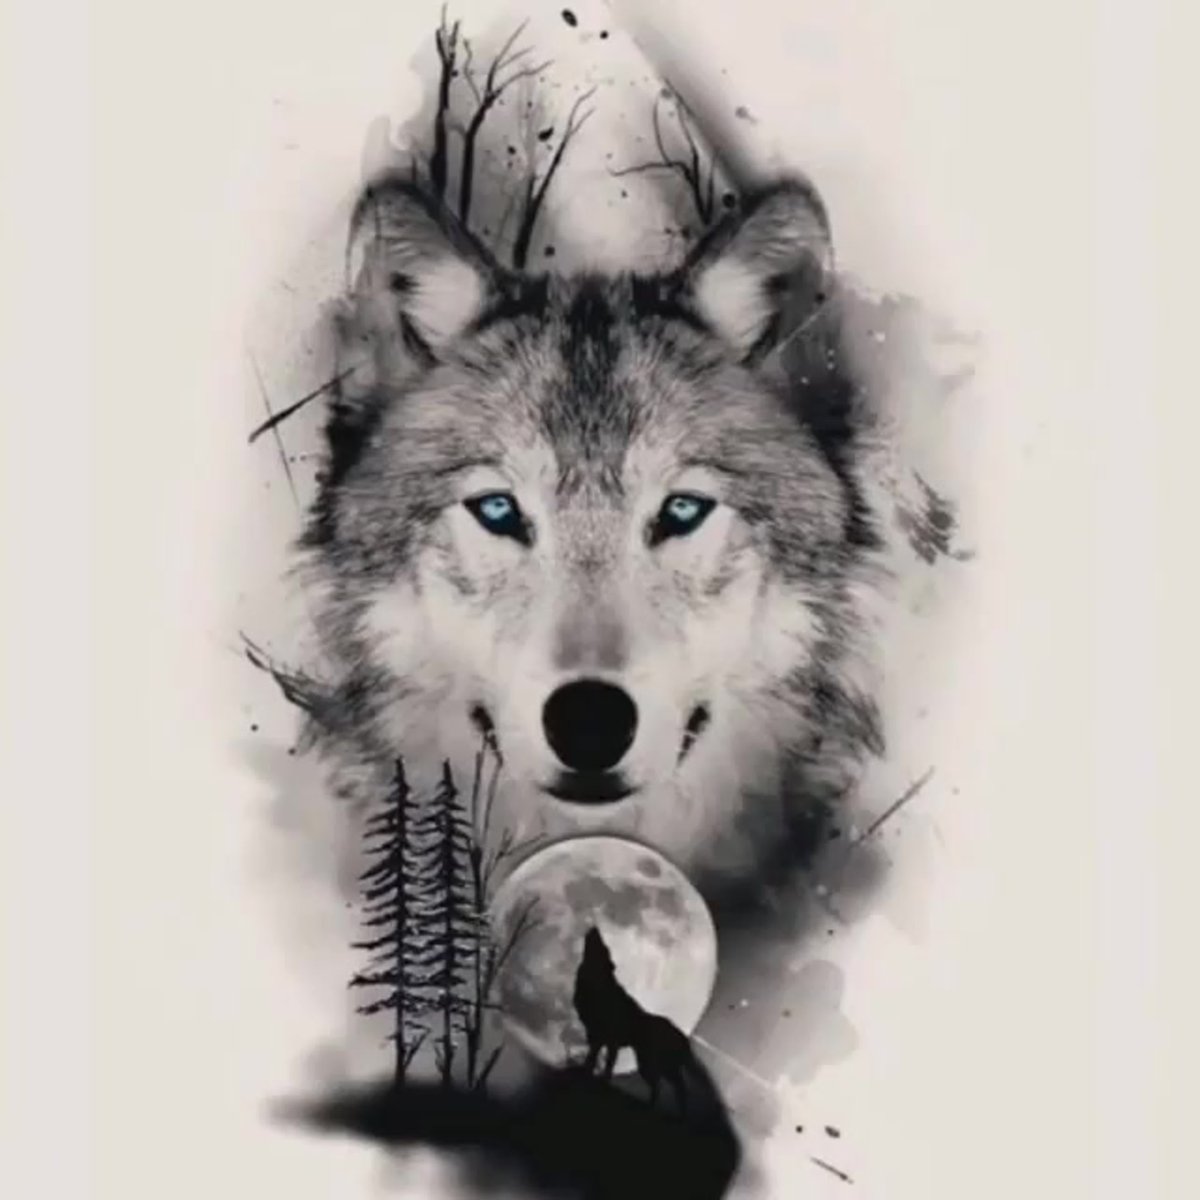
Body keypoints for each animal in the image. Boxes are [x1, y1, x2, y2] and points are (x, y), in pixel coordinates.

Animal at [573, 926, 704, 1110]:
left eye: (604, 948)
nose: (595, 928)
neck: (598, 986)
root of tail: (682, 1036)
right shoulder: (595, 1036)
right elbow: (591, 1060)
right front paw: (586, 1074)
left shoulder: (610, 1040)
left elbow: (607, 1066)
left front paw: (602, 1084)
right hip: (659, 1065)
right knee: (673, 1086)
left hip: (650, 1064)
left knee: (668, 1086)